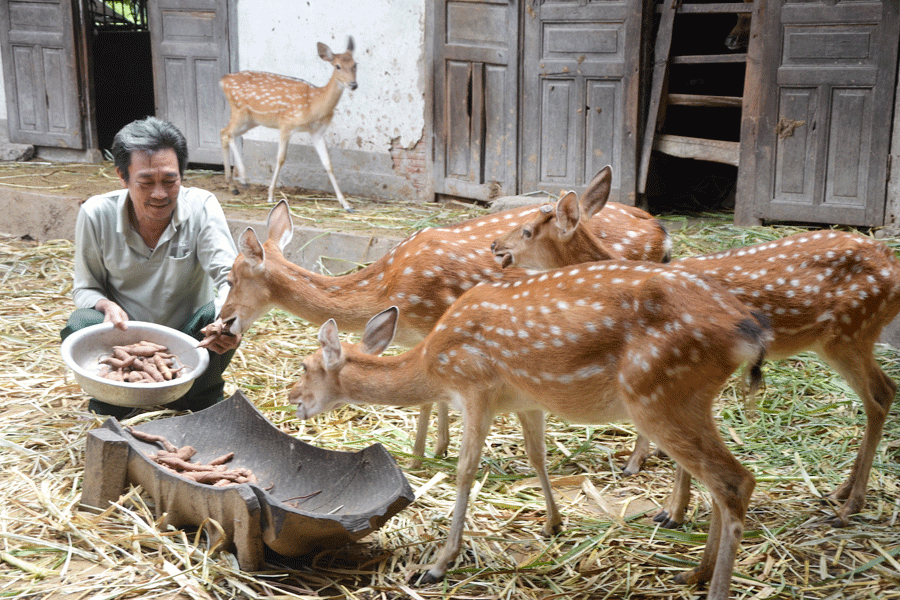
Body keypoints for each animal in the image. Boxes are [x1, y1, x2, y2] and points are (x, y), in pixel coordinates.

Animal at [200, 166, 672, 466]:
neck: (387, 288)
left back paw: (639, 463)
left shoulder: (438, 319)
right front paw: (432, 448)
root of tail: (663, 239)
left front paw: (427, 451)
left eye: (231, 276)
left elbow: (431, 396)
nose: (223, 321)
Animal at [220, 36, 356, 211]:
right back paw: (243, 179)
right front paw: (270, 195)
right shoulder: (286, 123)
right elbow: (280, 158)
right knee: (227, 133)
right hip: (240, 112)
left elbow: (328, 164)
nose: (353, 84)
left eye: (355, 64)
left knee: (223, 132)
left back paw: (232, 186)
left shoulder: (317, 132)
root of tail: (223, 80)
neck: (314, 104)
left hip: (251, 120)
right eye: (337, 66)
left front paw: (346, 204)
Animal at [292, 262, 768, 596]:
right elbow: (536, 454)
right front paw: (553, 524)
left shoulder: (475, 387)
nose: (294, 400)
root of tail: (748, 331)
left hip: (656, 394)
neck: (433, 366)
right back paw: (695, 573)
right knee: (724, 482)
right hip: (690, 399)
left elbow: (465, 471)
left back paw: (715, 585)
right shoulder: (526, 400)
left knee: (734, 480)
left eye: (306, 366)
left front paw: (438, 565)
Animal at [492, 190, 900, 528]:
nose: (495, 244)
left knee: (880, 394)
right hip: (846, 338)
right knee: (883, 391)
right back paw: (839, 493)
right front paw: (661, 493)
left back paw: (849, 507)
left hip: (848, 333)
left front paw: (671, 511)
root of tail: (892, 268)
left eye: (527, 230)